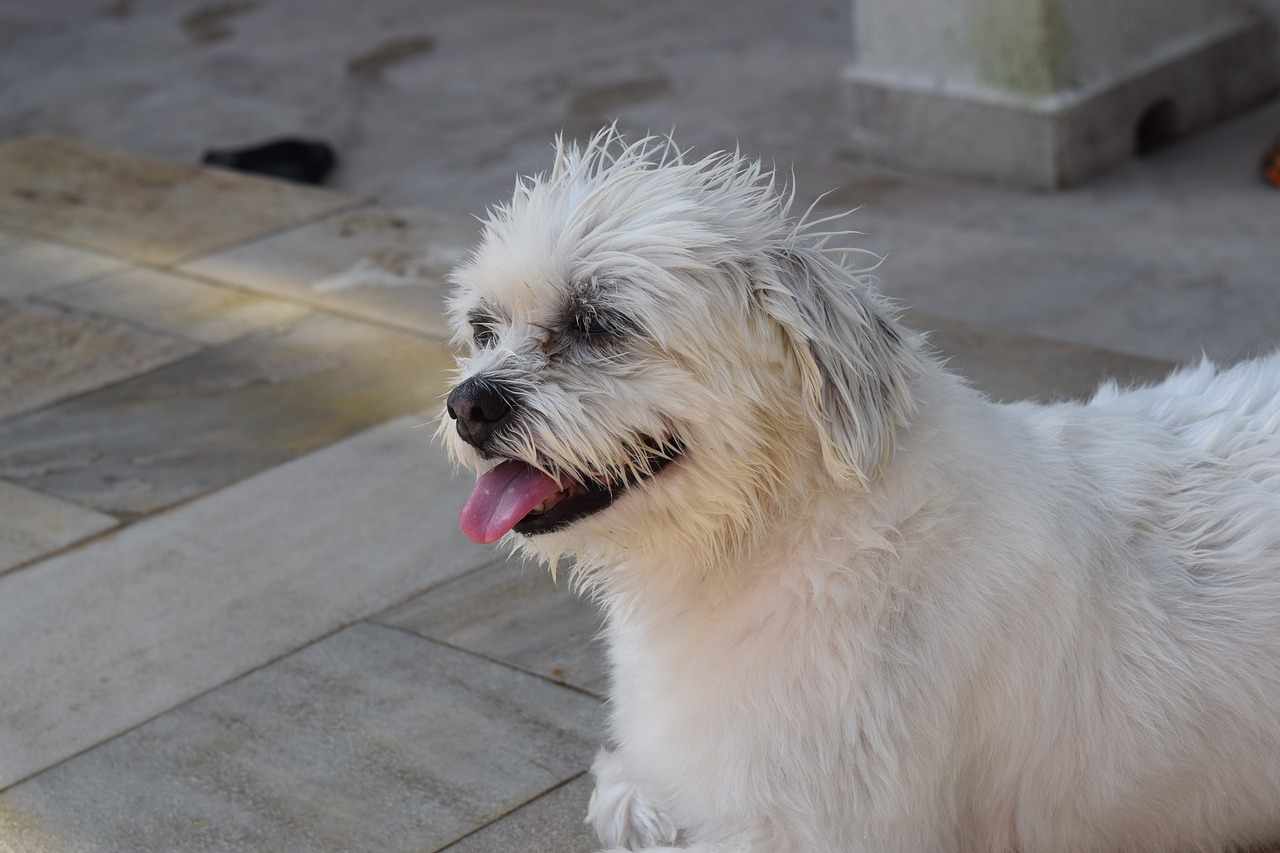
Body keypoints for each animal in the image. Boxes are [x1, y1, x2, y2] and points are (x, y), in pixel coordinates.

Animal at [437, 128, 1280, 850]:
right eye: (483, 328)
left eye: (598, 322)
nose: (469, 403)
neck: (789, 530)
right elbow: (625, 792)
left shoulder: (814, 827)